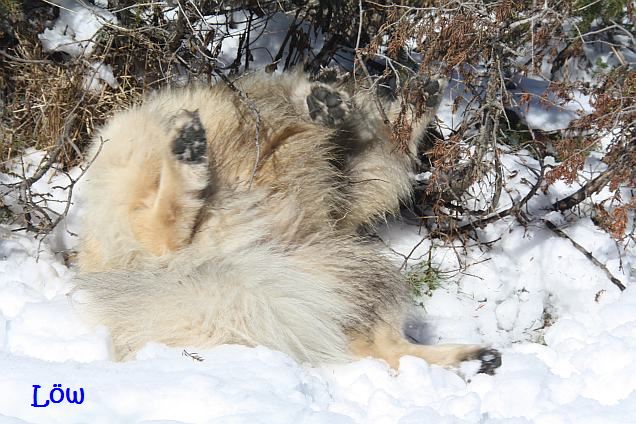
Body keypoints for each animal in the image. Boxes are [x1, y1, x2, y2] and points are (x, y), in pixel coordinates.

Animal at [73, 70, 502, 374]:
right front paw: (327, 103)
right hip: (128, 146)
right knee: (154, 227)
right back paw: (187, 156)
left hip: (330, 274)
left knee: (381, 348)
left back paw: (472, 360)